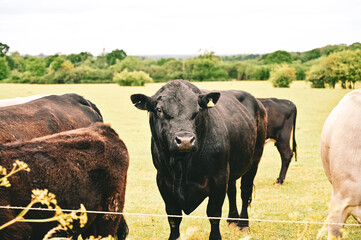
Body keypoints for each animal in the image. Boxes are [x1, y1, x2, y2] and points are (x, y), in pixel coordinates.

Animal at [131, 79, 266, 239]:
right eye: (159, 110)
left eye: (197, 110)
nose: (185, 141)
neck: (182, 166)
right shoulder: (163, 180)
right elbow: (173, 216)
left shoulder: (219, 178)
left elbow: (213, 213)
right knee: (232, 191)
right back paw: (232, 219)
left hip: (254, 160)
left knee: (245, 191)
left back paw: (243, 223)